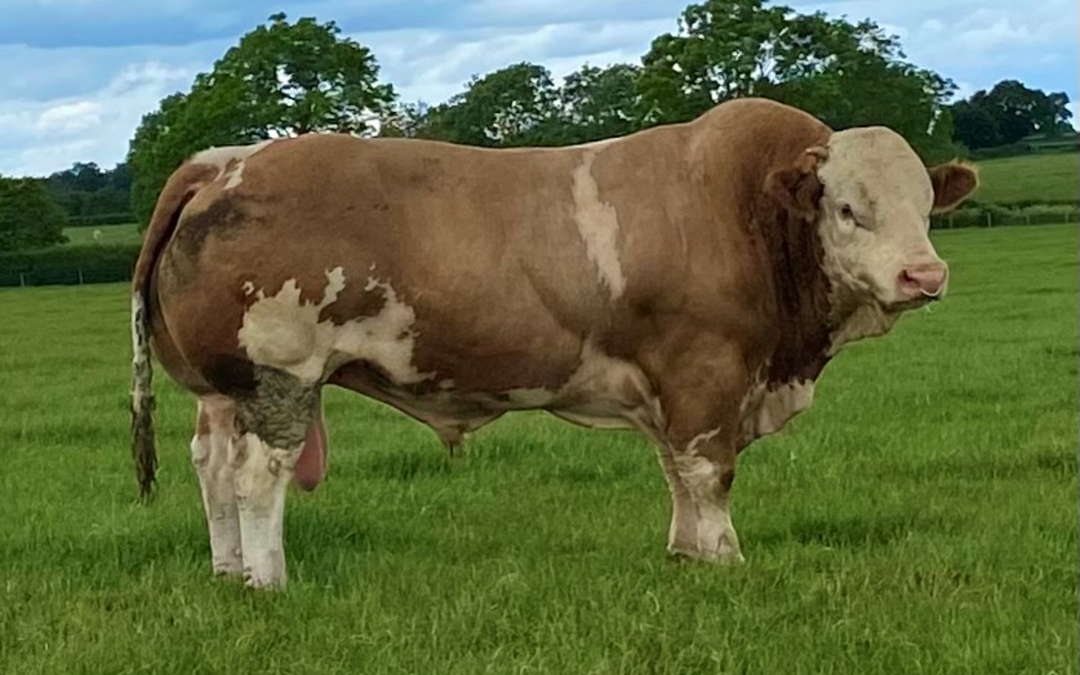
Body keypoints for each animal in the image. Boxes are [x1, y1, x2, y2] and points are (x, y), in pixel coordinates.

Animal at [128, 97, 980, 587]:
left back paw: (228, 569)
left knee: (212, 469)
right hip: (280, 376)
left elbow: (675, 473)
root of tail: (227, 161)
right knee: (255, 478)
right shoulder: (706, 373)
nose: (924, 273)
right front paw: (724, 559)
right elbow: (710, 473)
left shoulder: (667, 388)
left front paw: (685, 555)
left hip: (221, 388)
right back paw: (268, 579)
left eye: (925, 206)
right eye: (848, 209)